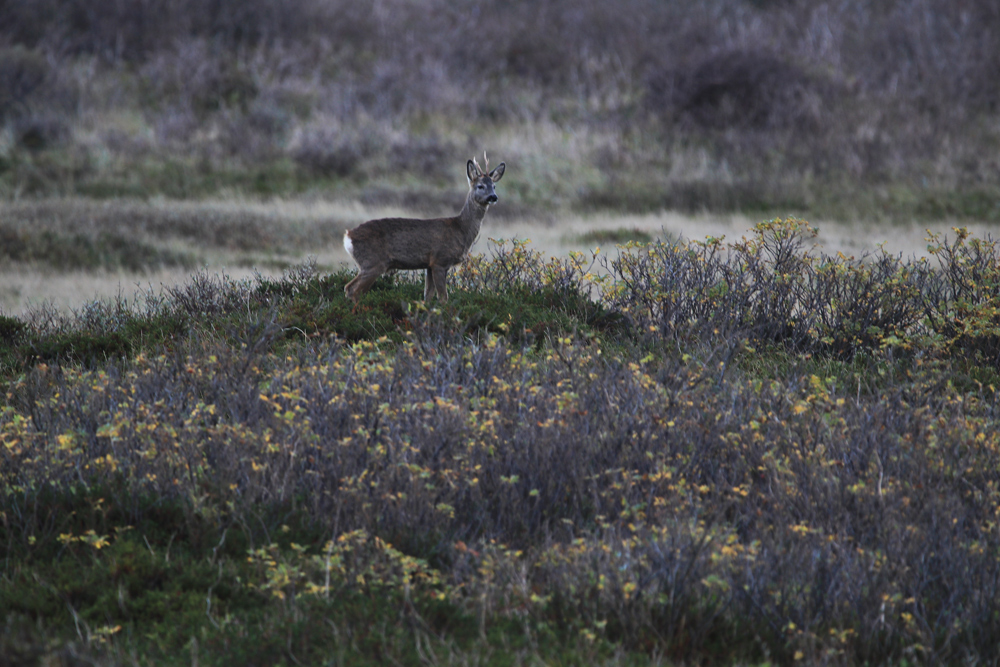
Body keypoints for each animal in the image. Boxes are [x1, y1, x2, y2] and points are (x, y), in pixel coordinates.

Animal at [344, 154, 504, 302]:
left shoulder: (429, 265)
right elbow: (443, 297)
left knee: (349, 288)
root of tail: (348, 236)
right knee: (352, 289)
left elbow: (427, 296)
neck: (461, 230)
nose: (493, 197)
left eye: (494, 186)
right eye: (480, 186)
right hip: (373, 262)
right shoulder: (440, 260)